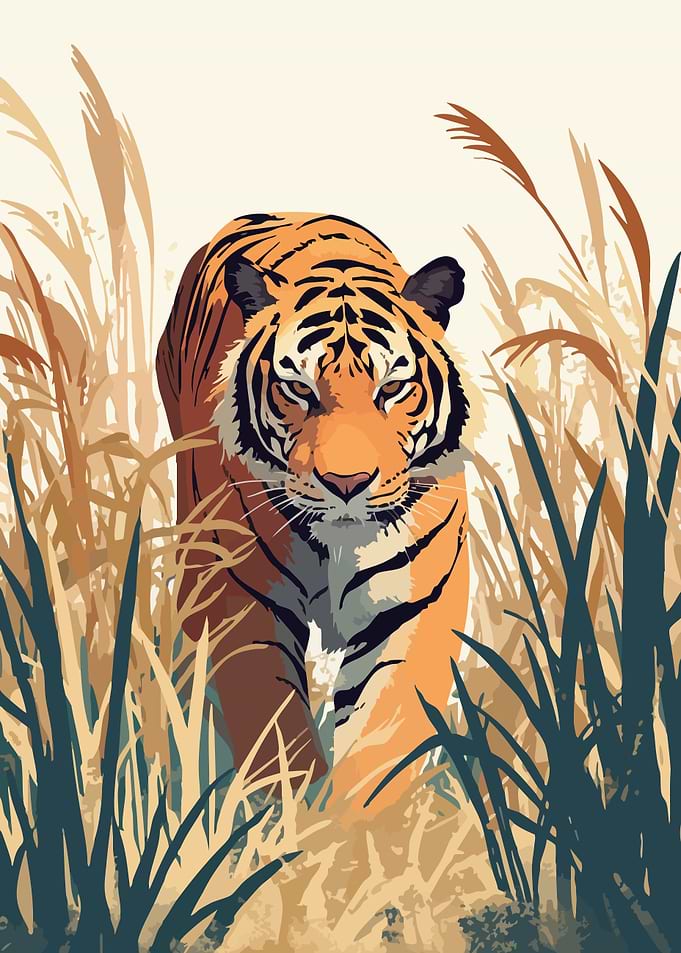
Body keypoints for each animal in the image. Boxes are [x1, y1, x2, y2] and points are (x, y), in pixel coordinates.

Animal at [156, 212, 471, 814]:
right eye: (298, 389)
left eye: (393, 388)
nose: (346, 484)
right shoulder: (245, 602)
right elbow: (276, 732)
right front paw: (292, 822)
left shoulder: (414, 604)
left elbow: (382, 737)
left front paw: (360, 832)